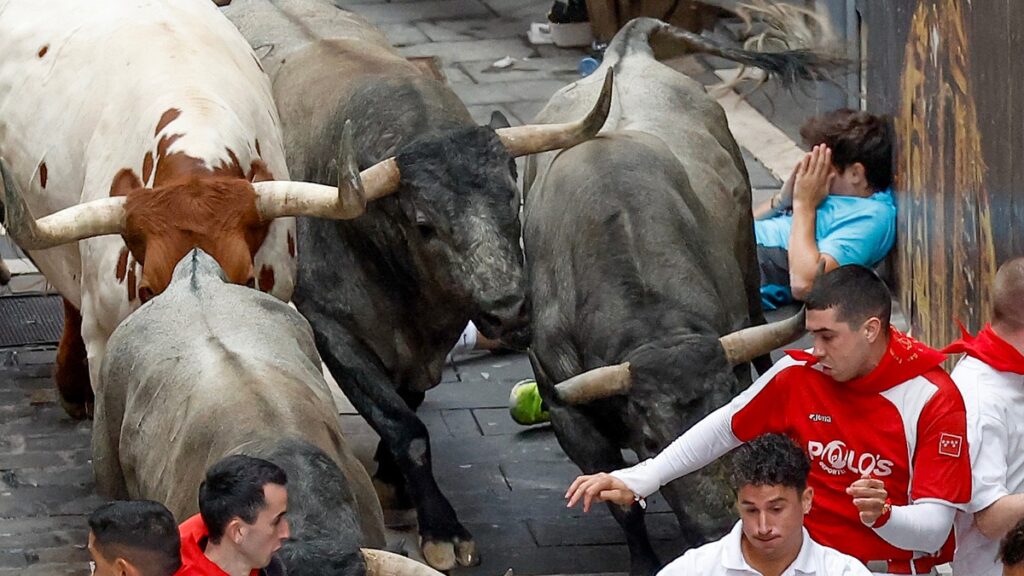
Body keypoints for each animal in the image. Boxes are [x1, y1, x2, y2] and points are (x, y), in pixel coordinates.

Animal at [219, 0, 606, 565]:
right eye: (425, 225)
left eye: (513, 199)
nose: (509, 311)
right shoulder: (332, 327)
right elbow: (405, 424)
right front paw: (441, 527)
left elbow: (411, 403)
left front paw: (393, 478)